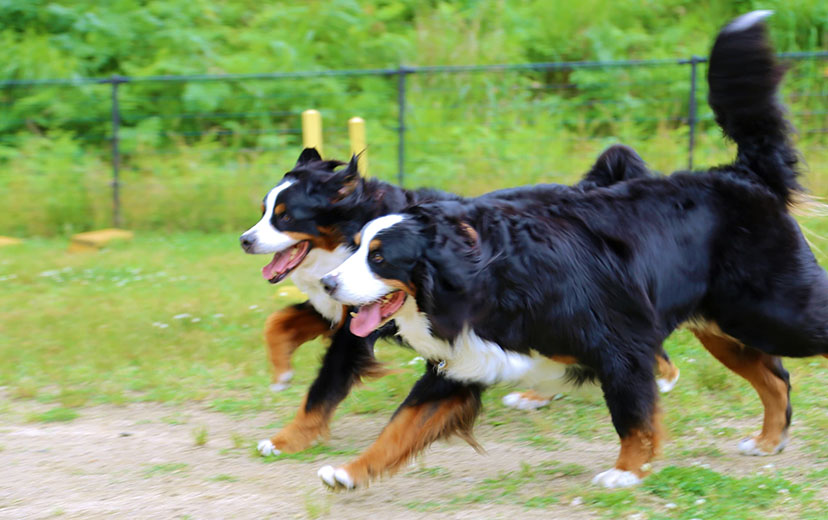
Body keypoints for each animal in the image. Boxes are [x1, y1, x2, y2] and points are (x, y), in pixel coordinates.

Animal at [239, 145, 680, 456]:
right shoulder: (346, 304)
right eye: (263, 210)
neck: (352, 232)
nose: (245, 240)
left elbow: (323, 388)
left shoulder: (359, 325)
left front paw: (285, 440)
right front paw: (281, 374)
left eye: (285, 216)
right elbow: (277, 323)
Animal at [316, 13, 820, 492]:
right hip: (725, 324)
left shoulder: (621, 345)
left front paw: (627, 473)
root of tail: (742, 175)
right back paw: (768, 441)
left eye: (379, 258)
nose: (328, 282)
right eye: (355, 247)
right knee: (776, 377)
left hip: (776, 313)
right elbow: (401, 425)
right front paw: (349, 472)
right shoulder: (463, 364)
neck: (486, 277)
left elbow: (632, 415)